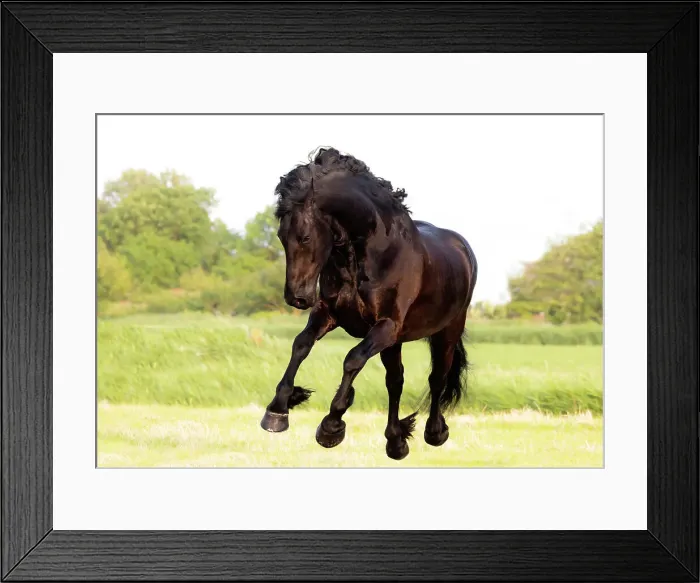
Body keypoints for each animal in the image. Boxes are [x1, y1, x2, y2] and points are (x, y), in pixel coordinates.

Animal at [260, 147, 478, 460]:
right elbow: (301, 345)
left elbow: (352, 359)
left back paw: (435, 432)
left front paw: (331, 425)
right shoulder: (328, 313)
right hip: (395, 343)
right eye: (280, 236)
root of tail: (462, 248)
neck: (366, 256)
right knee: (396, 382)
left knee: (437, 378)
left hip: (445, 332)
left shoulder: (385, 326)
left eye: (305, 236)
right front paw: (278, 409)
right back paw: (396, 442)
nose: (297, 297)